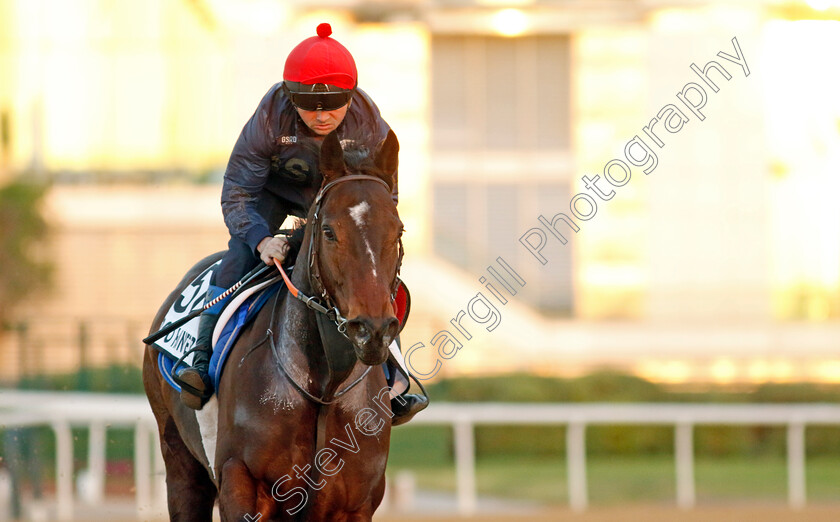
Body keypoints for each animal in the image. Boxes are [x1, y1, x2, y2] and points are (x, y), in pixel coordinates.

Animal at [143, 130, 406, 520]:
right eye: (329, 231)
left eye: (398, 230)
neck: (326, 387)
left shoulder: (357, 503)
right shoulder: (241, 482)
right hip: (179, 459)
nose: (371, 330)